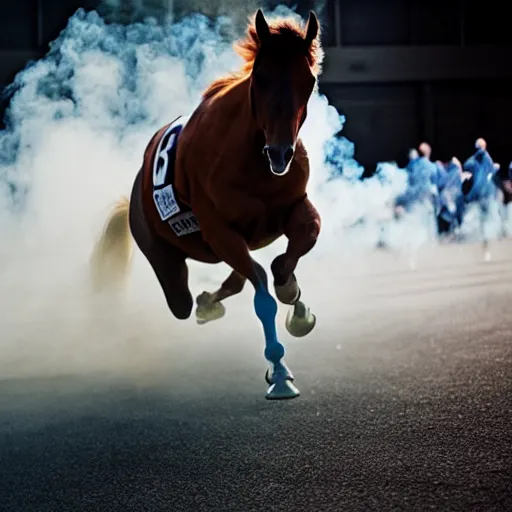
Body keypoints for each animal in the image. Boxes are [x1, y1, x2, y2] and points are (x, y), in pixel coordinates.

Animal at [91, 9, 324, 400]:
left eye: (307, 81)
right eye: (260, 78)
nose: (280, 153)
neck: (251, 156)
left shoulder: (294, 206)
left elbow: (292, 252)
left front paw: (296, 301)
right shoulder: (219, 230)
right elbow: (263, 291)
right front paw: (279, 371)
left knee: (236, 280)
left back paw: (211, 302)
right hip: (164, 255)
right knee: (185, 301)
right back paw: (204, 304)